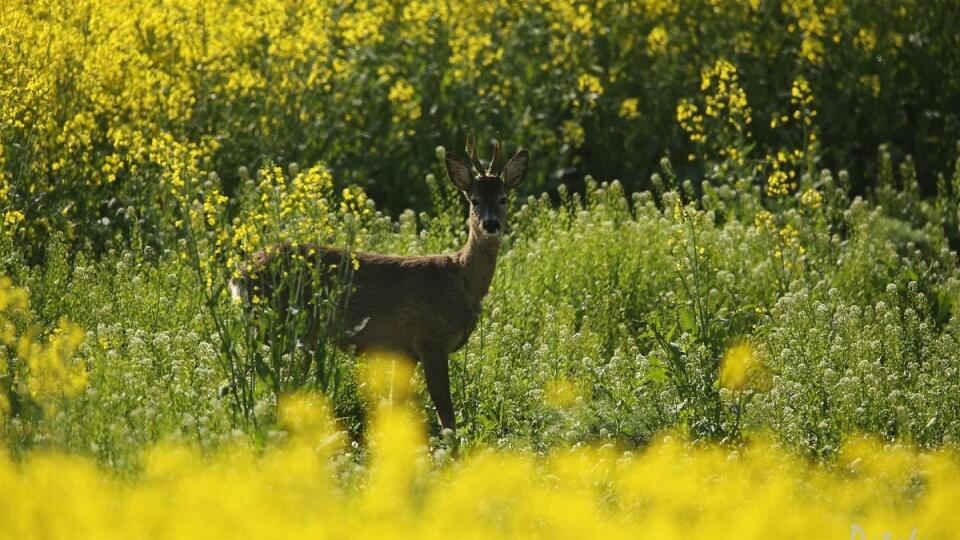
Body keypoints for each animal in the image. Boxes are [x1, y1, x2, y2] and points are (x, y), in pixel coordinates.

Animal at [235, 138, 528, 430]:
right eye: (474, 200)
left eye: (503, 199)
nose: (490, 224)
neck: (463, 282)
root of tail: (239, 273)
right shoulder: (431, 340)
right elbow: (447, 416)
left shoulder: (406, 352)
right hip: (282, 325)